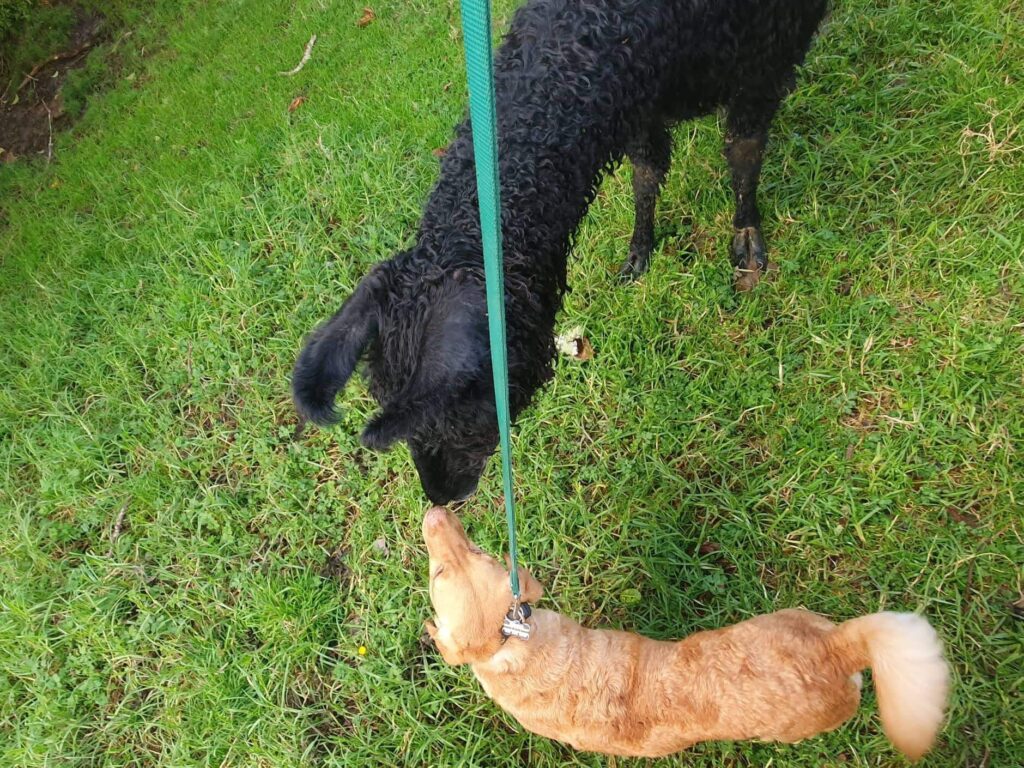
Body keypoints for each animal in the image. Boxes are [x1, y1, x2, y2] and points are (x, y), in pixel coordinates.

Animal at [294, 1, 830, 503]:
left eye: (463, 409)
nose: (440, 493)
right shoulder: (640, 106)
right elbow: (647, 175)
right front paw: (639, 251)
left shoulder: (765, 56)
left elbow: (743, 152)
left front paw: (747, 235)